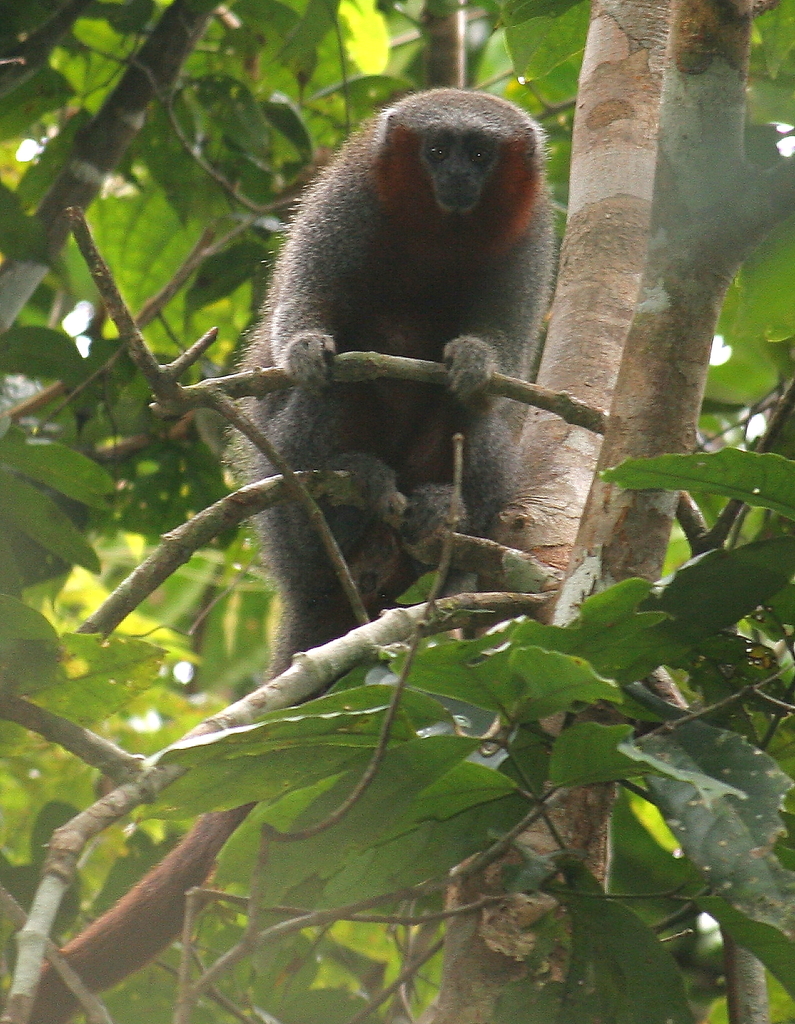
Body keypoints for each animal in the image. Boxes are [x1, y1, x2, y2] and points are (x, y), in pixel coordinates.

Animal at [27, 88, 553, 1023]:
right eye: (439, 149)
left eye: (481, 155)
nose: (457, 177)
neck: (437, 231)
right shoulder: (346, 204)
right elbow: (306, 309)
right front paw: (306, 347)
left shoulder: (530, 235)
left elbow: (500, 355)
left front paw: (474, 358)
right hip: (290, 517)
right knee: (331, 395)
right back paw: (351, 487)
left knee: (481, 422)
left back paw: (437, 519)